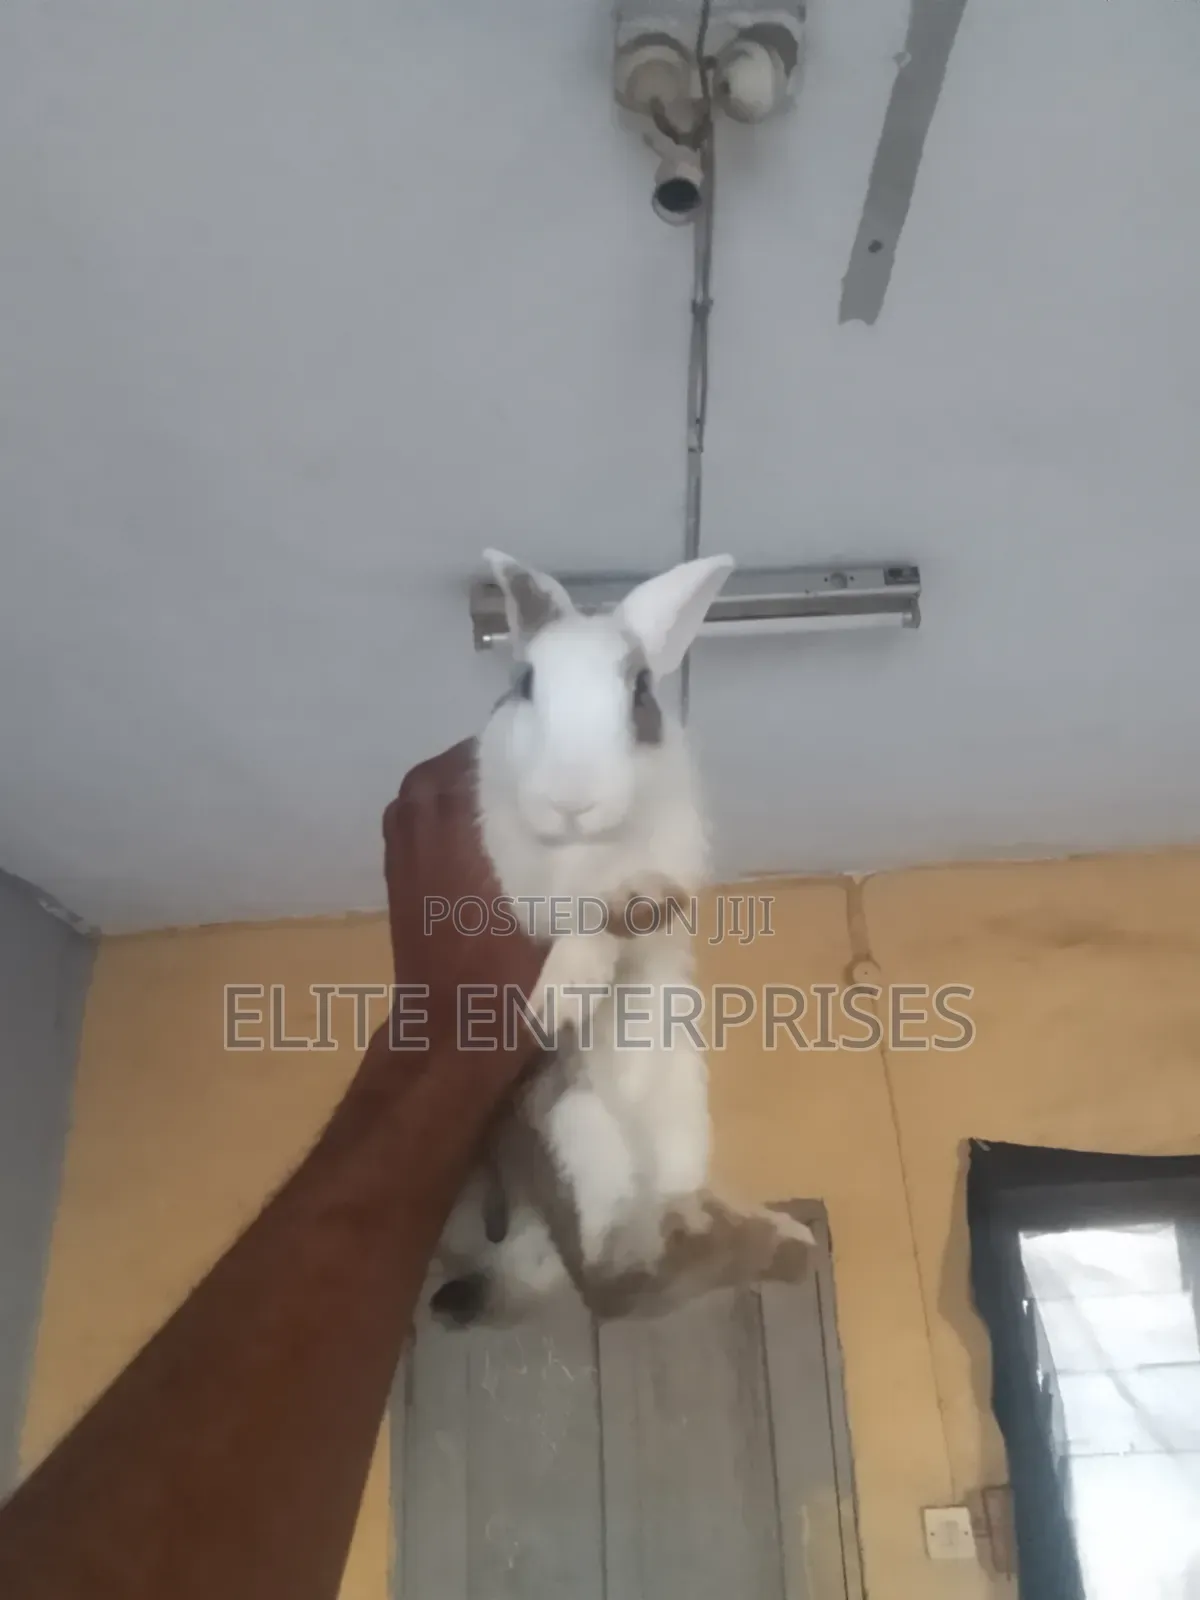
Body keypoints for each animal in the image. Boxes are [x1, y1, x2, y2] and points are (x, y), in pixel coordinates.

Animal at [428, 549, 814, 1329]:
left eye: (640, 692)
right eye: (524, 683)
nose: (572, 800)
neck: (588, 849)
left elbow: (633, 905)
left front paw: (638, 904)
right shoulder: (522, 886)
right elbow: (578, 927)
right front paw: (559, 996)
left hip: (678, 1120)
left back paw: (774, 1238)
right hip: (573, 1128)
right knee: (613, 1285)